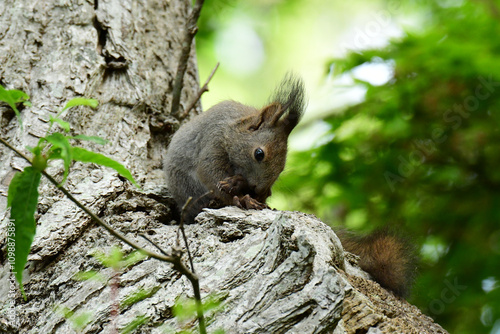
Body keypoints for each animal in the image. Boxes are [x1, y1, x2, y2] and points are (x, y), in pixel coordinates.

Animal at [164, 73, 304, 224]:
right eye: (259, 154)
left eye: (282, 168)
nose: (259, 190)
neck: (232, 129)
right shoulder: (213, 139)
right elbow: (209, 173)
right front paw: (243, 198)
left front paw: (246, 189)